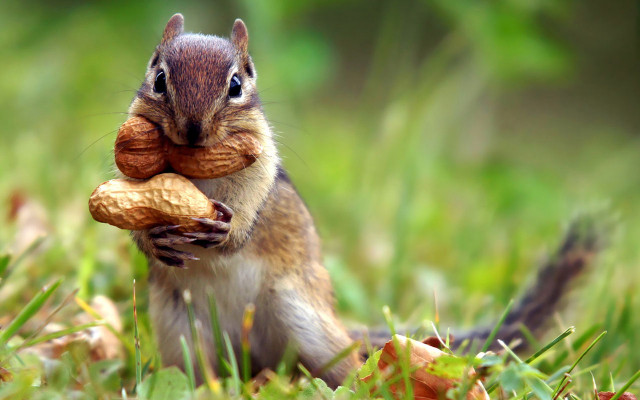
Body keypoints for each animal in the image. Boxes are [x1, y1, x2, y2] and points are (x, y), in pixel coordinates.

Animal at [125, 14, 605, 389]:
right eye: (160, 78)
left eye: (237, 84)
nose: (192, 131)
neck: (195, 170)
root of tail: (250, 356)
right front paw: (153, 240)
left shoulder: (260, 171)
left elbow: (249, 208)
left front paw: (228, 231)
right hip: (180, 333)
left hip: (306, 321)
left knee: (348, 368)